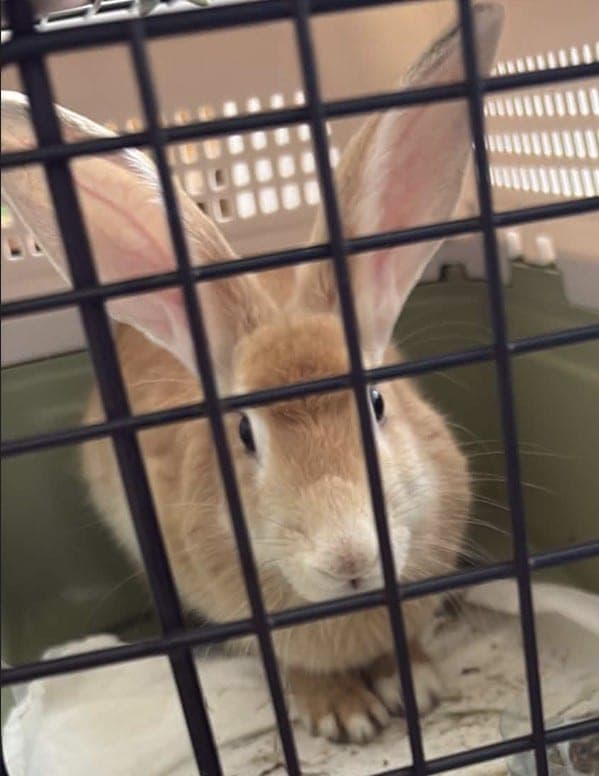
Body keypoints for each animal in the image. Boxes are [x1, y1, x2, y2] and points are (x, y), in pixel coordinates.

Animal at [1, 3, 503, 743]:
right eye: (243, 435)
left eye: (377, 404)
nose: (349, 558)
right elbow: (298, 670)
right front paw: (347, 716)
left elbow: (404, 644)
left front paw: (414, 685)